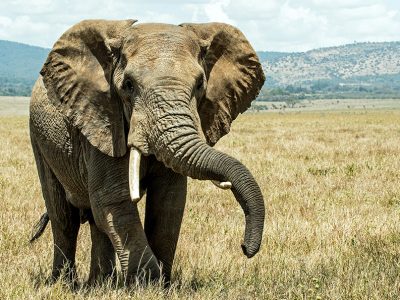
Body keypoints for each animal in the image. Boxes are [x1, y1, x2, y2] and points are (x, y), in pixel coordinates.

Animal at [28, 19, 266, 286]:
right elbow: (113, 198)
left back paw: (100, 285)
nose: (245, 248)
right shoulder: (104, 122)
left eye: (199, 84)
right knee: (64, 218)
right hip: (40, 139)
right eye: (128, 85)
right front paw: (147, 283)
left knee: (94, 221)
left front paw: (162, 285)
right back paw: (65, 284)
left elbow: (168, 202)